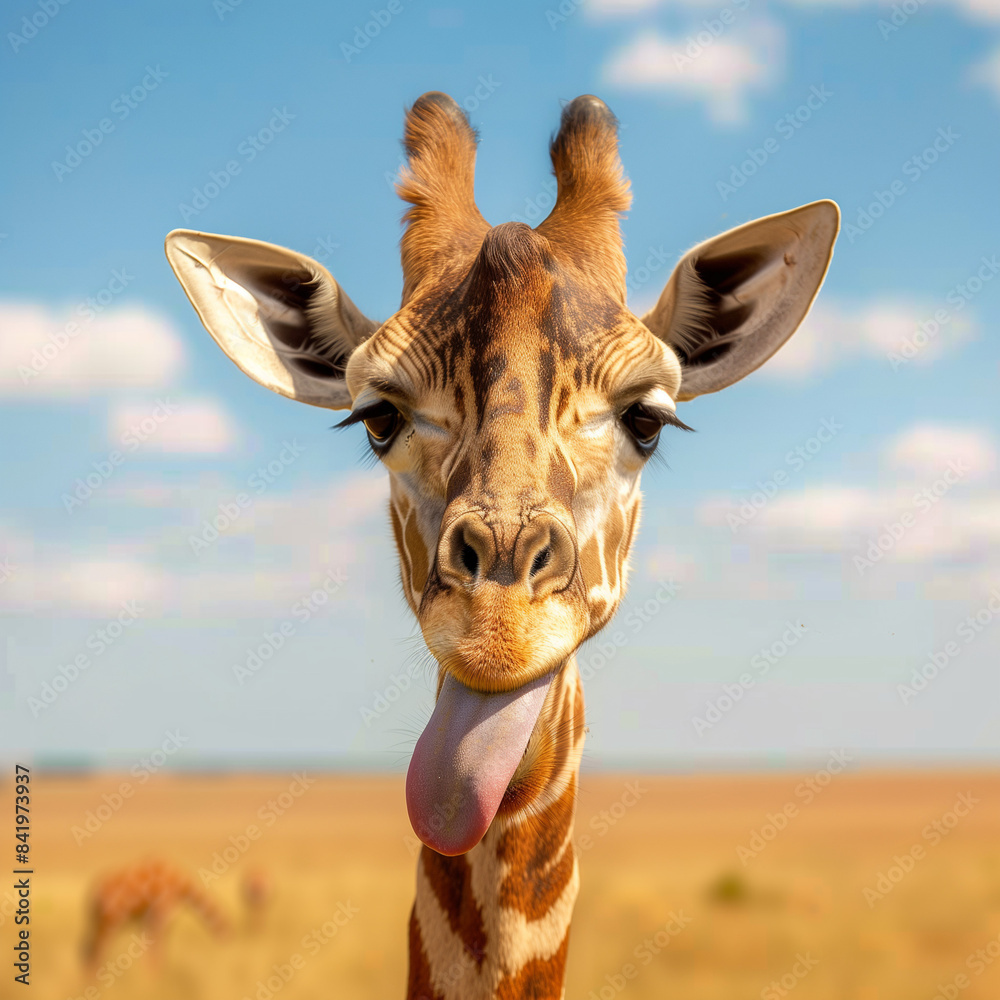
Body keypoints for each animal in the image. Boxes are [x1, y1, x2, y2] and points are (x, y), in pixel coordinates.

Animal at [81, 858, 229, 967]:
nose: (227, 950)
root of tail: (94, 891)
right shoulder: (157, 916)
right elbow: (155, 950)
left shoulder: (157, 920)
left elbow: (156, 949)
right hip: (111, 920)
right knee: (96, 949)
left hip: (100, 920)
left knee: (88, 947)